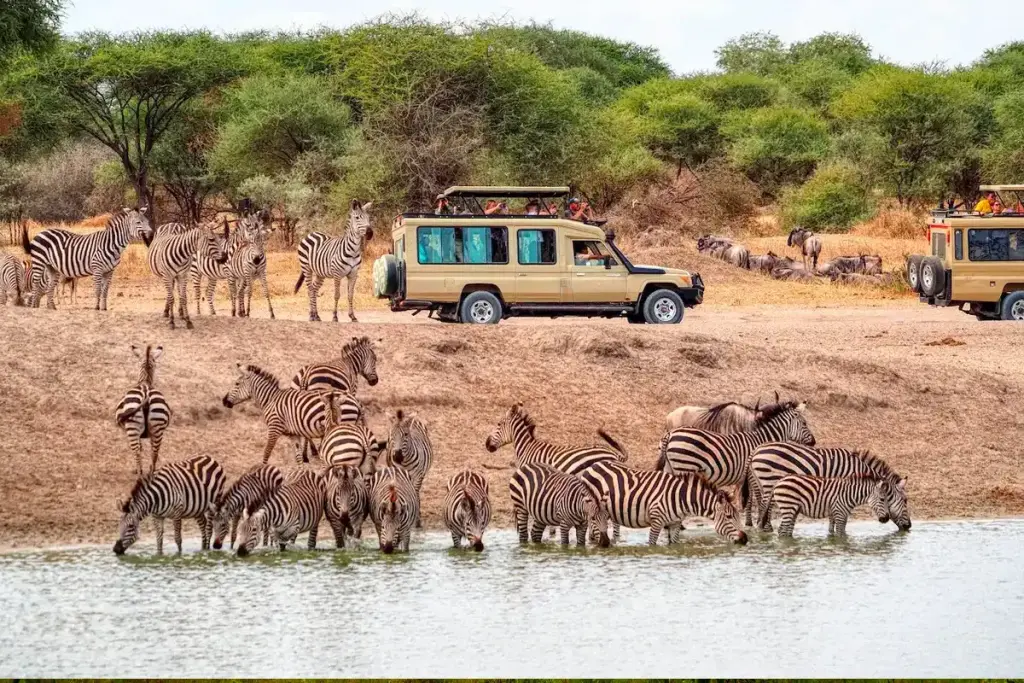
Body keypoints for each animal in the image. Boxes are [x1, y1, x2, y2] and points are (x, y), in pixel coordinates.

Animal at [23, 207, 153, 310]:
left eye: (147, 221)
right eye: (138, 222)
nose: (151, 233)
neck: (111, 244)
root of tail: (41, 232)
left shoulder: (109, 271)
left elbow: (105, 290)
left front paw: (104, 308)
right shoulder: (97, 269)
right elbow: (98, 290)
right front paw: (96, 307)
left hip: (52, 267)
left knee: (50, 286)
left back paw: (52, 307)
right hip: (39, 261)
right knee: (35, 283)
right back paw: (34, 306)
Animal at [114, 344, 172, 477]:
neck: (144, 381)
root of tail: (146, 394)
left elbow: (140, 448)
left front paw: (137, 470)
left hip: (132, 429)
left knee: (137, 452)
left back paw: (139, 474)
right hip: (158, 428)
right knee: (154, 453)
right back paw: (151, 474)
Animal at [578, 461, 749, 546]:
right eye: (729, 517)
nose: (745, 539)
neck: (681, 498)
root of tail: (592, 466)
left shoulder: (675, 524)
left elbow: (674, 545)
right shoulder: (657, 521)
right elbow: (652, 544)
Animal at [657, 400, 816, 526]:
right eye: (804, 423)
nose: (814, 442)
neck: (761, 440)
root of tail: (670, 434)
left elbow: (750, 497)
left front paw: (751, 522)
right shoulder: (752, 474)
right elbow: (756, 497)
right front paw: (756, 522)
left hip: (671, 467)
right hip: (683, 466)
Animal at [764, 474, 892, 538]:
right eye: (882, 499)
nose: (886, 519)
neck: (849, 494)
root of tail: (779, 481)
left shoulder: (842, 514)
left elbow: (839, 532)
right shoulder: (840, 513)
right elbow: (840, 535)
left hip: (794, 510)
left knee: (787, 530)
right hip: (788, 507)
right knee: (782, 530)